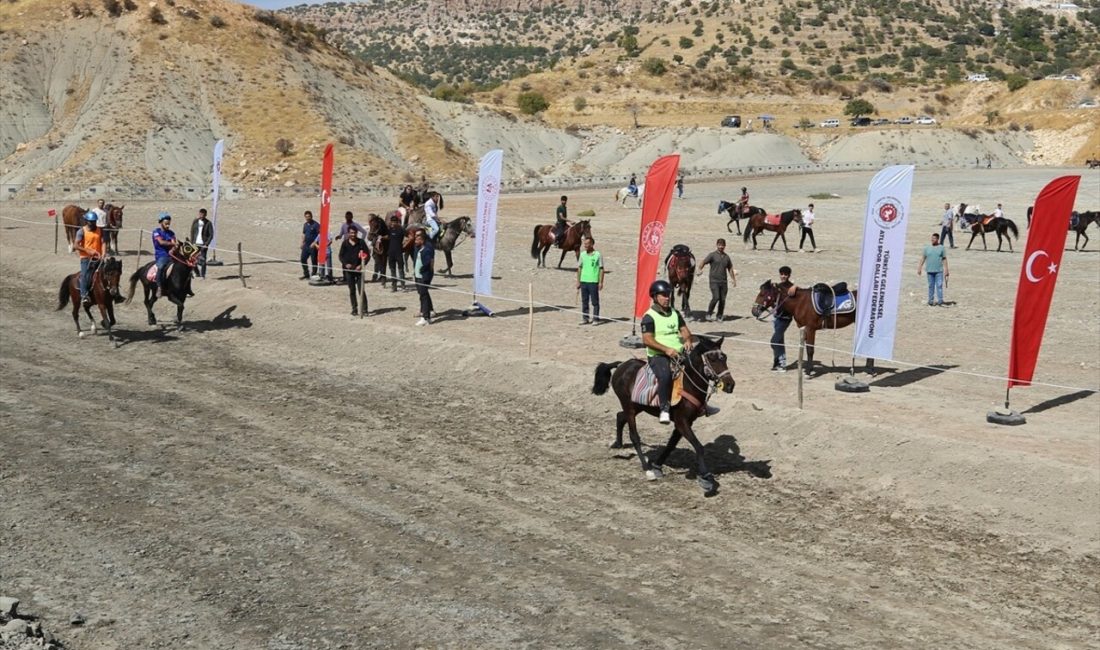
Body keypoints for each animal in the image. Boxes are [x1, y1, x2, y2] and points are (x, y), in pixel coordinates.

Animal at [589, 338, 734, 494]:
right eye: (712, 358)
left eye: (725, 357)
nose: (730, 385)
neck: (688, 385)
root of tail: (622, 365)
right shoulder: (682, 422)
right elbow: (699, 447)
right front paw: (706, 479)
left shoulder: (685, 423)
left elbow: (671, 445)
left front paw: (658, 466)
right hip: (629, 407)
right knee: (634, 436)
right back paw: (647, 469)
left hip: (637, 407)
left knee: (620, 416)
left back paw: (618, 444)